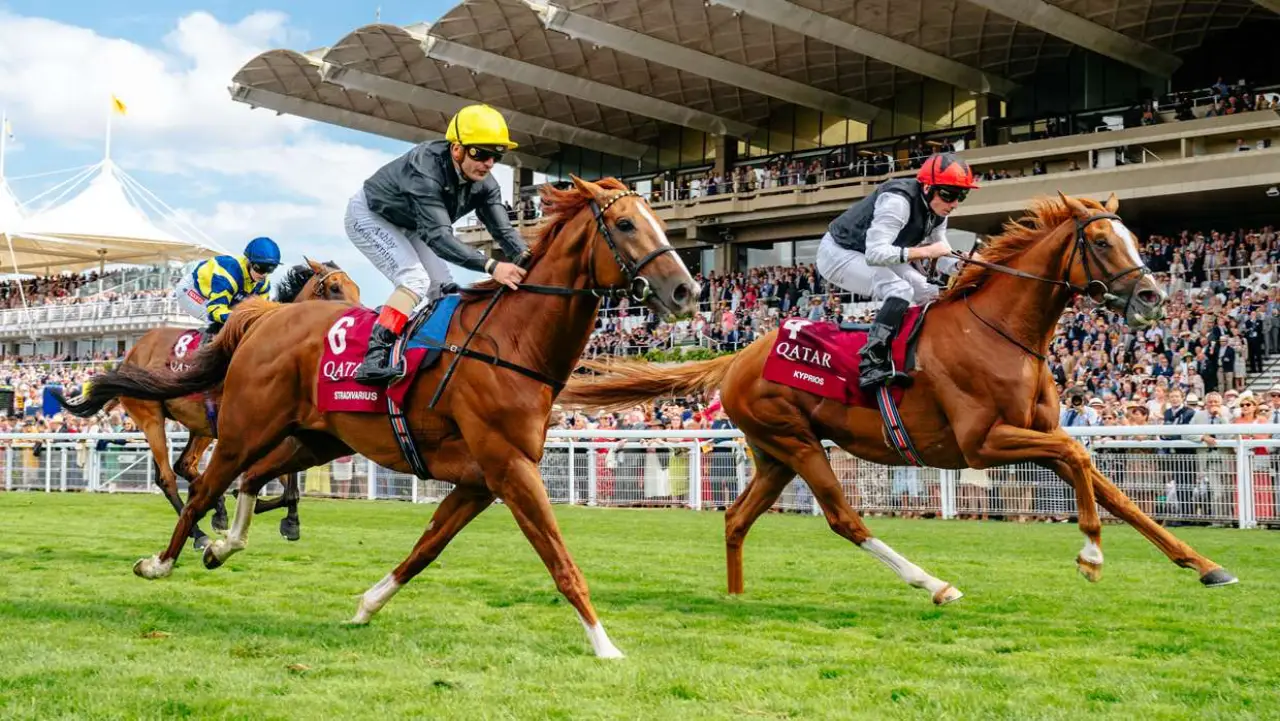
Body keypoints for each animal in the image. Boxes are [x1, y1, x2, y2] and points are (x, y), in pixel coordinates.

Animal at [57, 176, 701, 660]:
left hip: (318, 438)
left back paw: (223, 544)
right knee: (197, 485)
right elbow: (559, 558)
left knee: (250, 479)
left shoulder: (480, 479)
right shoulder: (510, 467)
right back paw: (167, 559)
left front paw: (367, 604)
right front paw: (605, 645)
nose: (686, 291)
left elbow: (426, 549)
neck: (511, 341)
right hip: (240, 427)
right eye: (626, 225)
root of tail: (263, 320)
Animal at [563, 193, 1239, 604]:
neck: (999, 332)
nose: (1152, 298)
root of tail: (741, 355)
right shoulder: (982, 443)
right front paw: (1092, 554)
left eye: (1132, 238)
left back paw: (736, 594)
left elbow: (1111, 487)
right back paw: (933, 583)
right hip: (798, 443)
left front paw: (1206, 565)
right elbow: (1080, 460)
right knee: (844, 517)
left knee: (735, 518)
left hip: (774, 454)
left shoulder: (1036, 433)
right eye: (1101, 243)